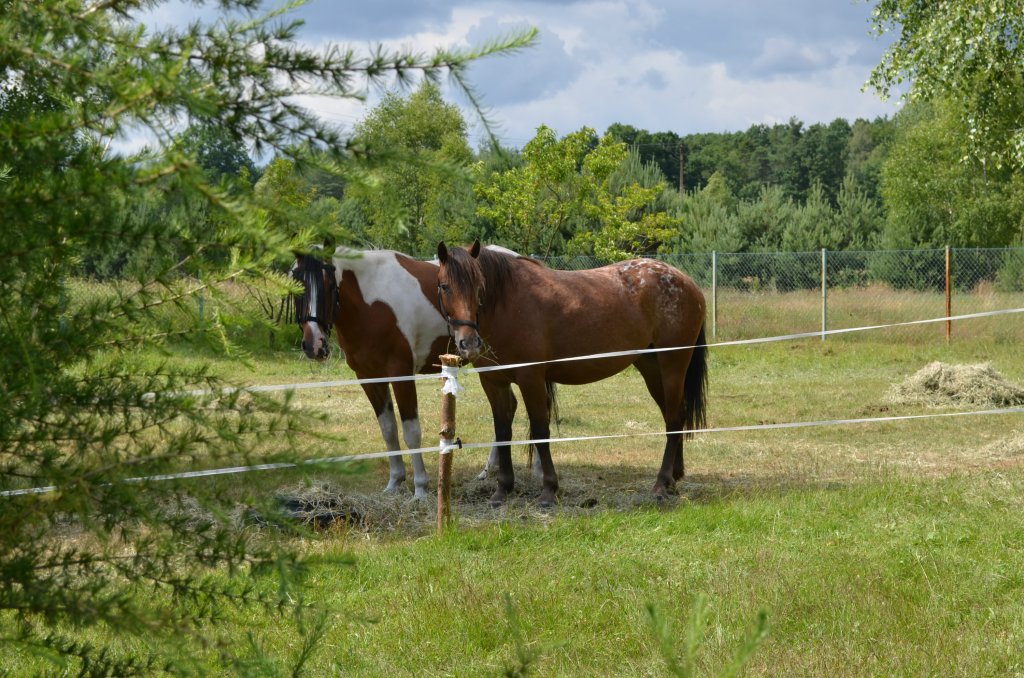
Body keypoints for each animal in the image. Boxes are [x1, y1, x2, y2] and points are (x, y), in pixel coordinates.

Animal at [290, 246, 544, 497]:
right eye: (296, 285)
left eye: (329, 285)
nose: (314, 345)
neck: (372, 302)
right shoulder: (368, 378)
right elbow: (388, 430)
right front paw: (394, 482)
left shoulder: (400, 373)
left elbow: (411, 432)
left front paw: (420, 488)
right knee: (509, 408)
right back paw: (488, 470)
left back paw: (538, 471)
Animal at [436, 241, 708, 507]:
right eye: (444, 286)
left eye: (479, 286)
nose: (468, 343)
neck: (508, 304)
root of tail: (687, 282)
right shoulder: (493, 382)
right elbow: (503, 432)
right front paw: (502, 489)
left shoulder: (531, 379)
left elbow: (540, 430)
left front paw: (548, 491)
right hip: (652, 369)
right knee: (675, 416)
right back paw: (674, 477)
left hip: (673, 367)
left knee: (673, 420)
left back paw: (661, 485)